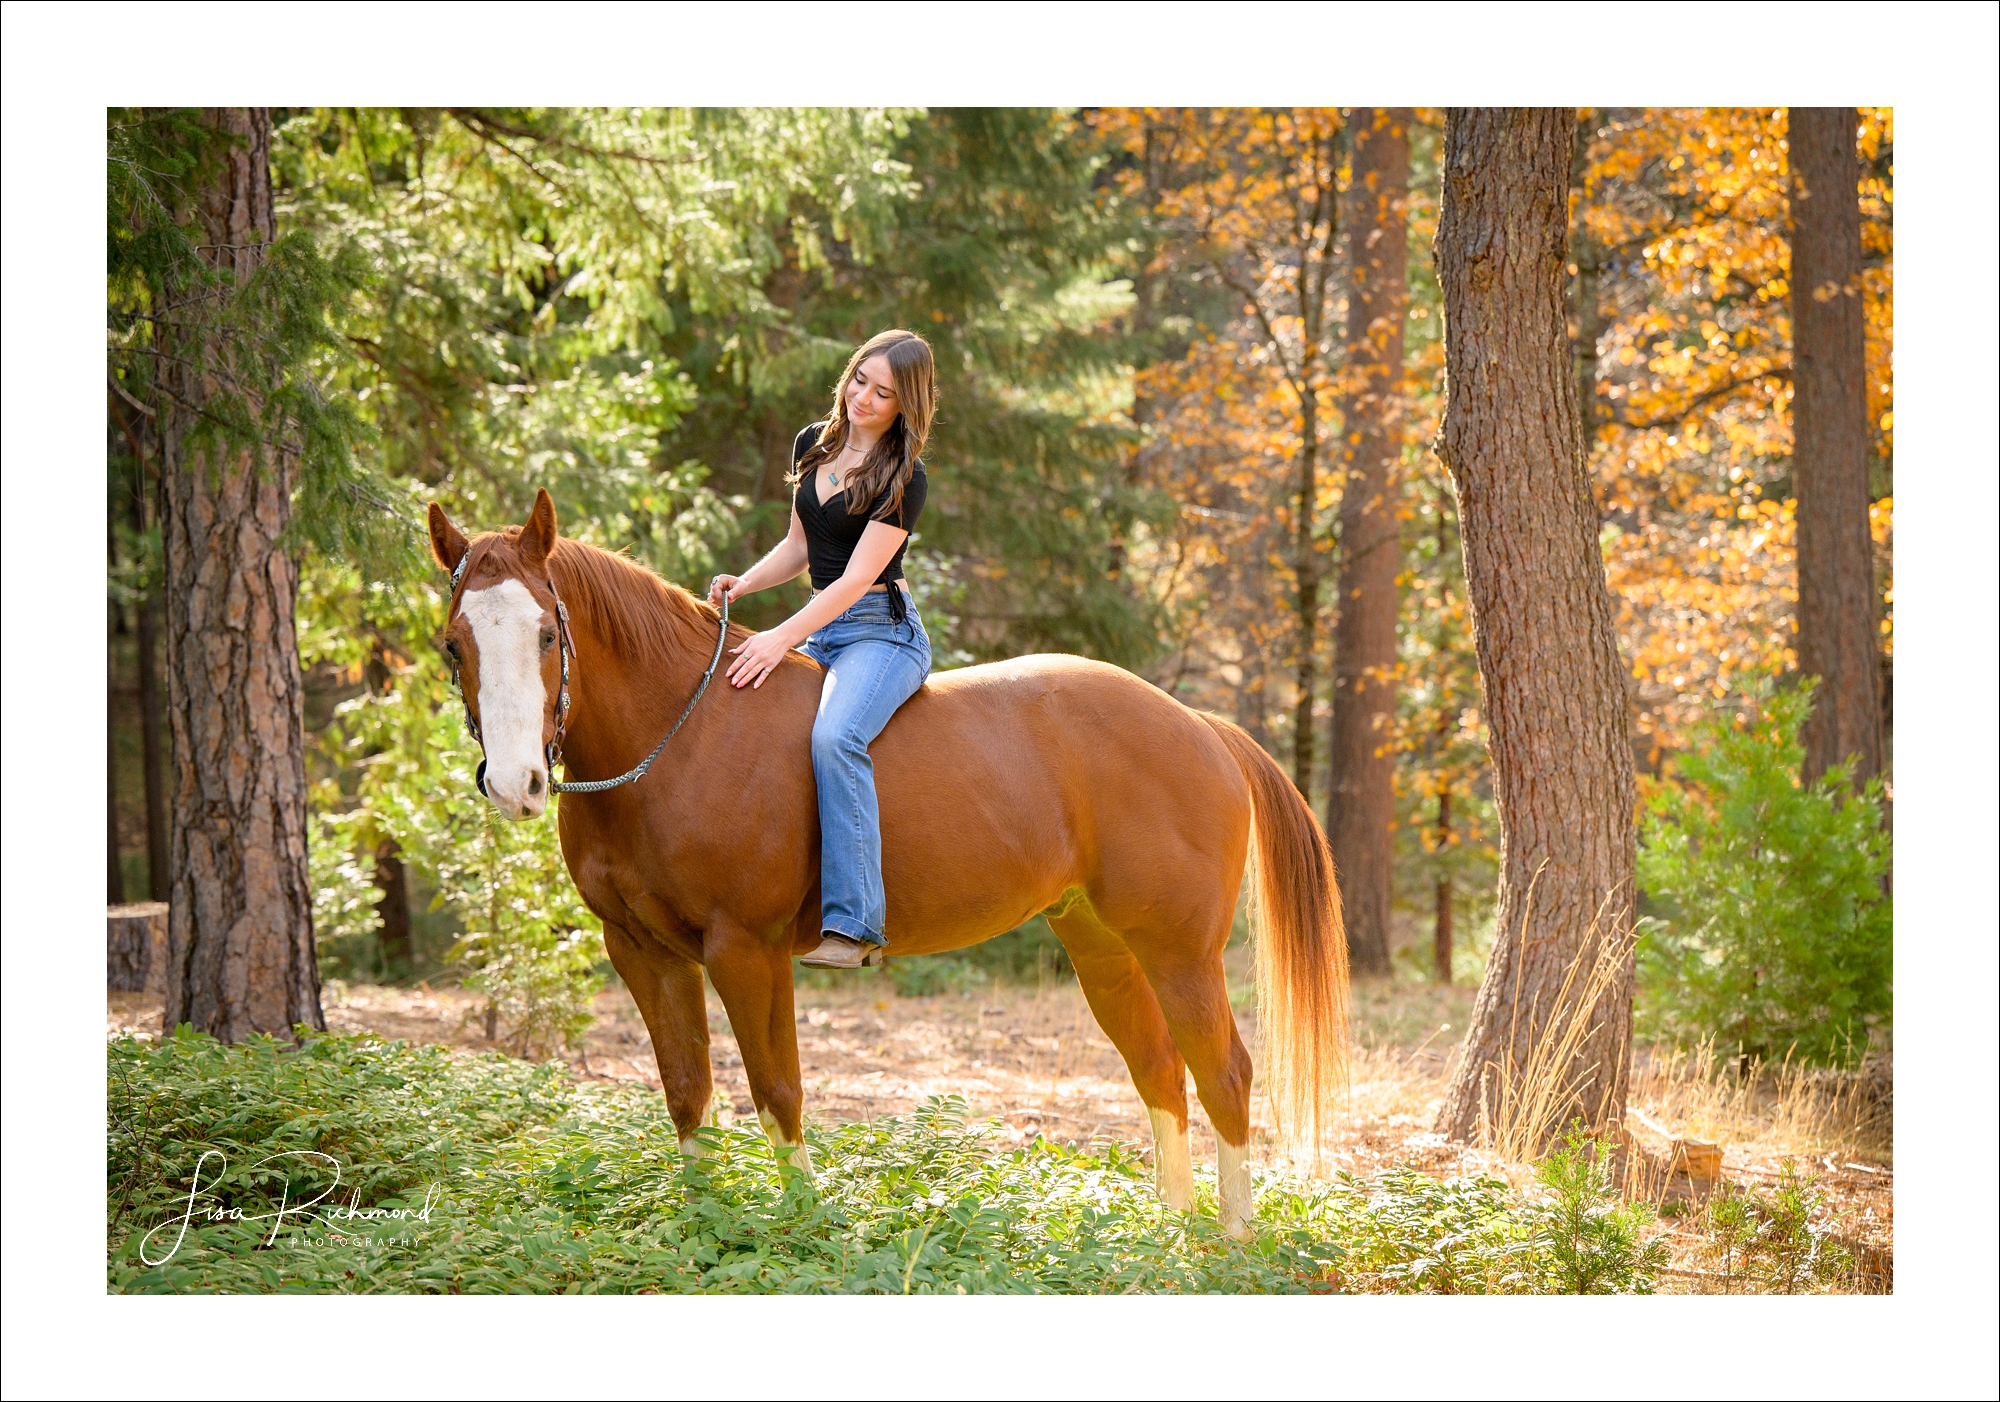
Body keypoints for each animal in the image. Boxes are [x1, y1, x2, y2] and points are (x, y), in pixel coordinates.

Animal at [430, 486, 1352, 1232]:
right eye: (452, 645)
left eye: (546, 634)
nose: (514, 782)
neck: (682, 736)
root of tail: (1200, 725)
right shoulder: (644, 953)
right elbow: (689, 1095)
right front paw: (703, 1228)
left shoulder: (747, 952)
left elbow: (778, 1092)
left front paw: (804, 1228)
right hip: (1101, 946)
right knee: (1159, 1069)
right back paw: (1171, 1232)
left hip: (1179, 951)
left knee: (1224, 1071)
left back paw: (1230, 1241)